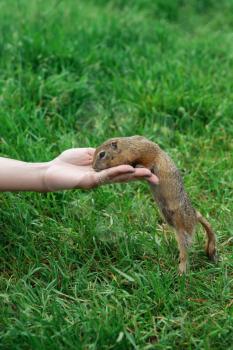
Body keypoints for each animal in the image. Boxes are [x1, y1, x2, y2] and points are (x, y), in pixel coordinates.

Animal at [92, 135, 217, 274]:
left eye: (102, 154)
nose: (93, 167)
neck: (127, 147)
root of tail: (195, 214)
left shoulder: (146, 152)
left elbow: (149, 161)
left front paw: (140, 166)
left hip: (184, 228)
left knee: (186, 250)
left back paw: (181, 270)